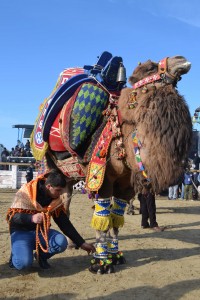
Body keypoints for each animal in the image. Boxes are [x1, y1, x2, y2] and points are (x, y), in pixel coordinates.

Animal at [30, 52, 192, 274]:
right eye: (150, 68)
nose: (181, 59)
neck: (122, 138)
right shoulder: (101, 179)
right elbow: (102, 219)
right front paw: (100, 263)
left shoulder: (126, 185)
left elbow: (115, 220)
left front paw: (116, 256)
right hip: (47, 165)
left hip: (69, 178)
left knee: (66, 202)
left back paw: (71, 243)